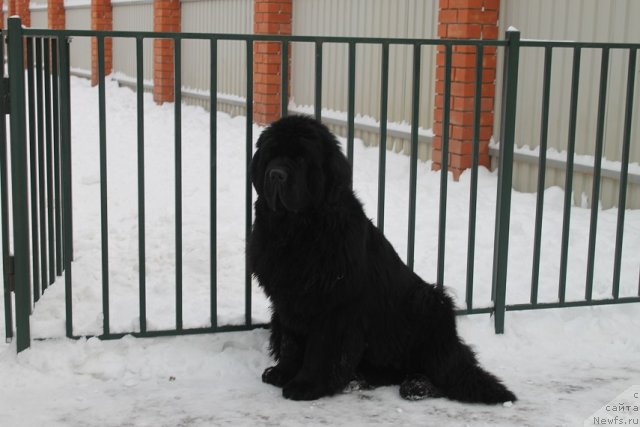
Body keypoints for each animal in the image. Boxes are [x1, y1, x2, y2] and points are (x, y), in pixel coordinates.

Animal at [248, 114, 516, 404]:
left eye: (301, 159)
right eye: (271, 156)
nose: (276, 174)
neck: (296, 232)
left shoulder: (335, 306)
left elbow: (321, 349)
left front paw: (306, 385)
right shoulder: (288, 301)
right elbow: (291, 343)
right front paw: (282, 373)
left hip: (429, 302)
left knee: (446, 369)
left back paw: (418, 385)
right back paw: (360, 379)